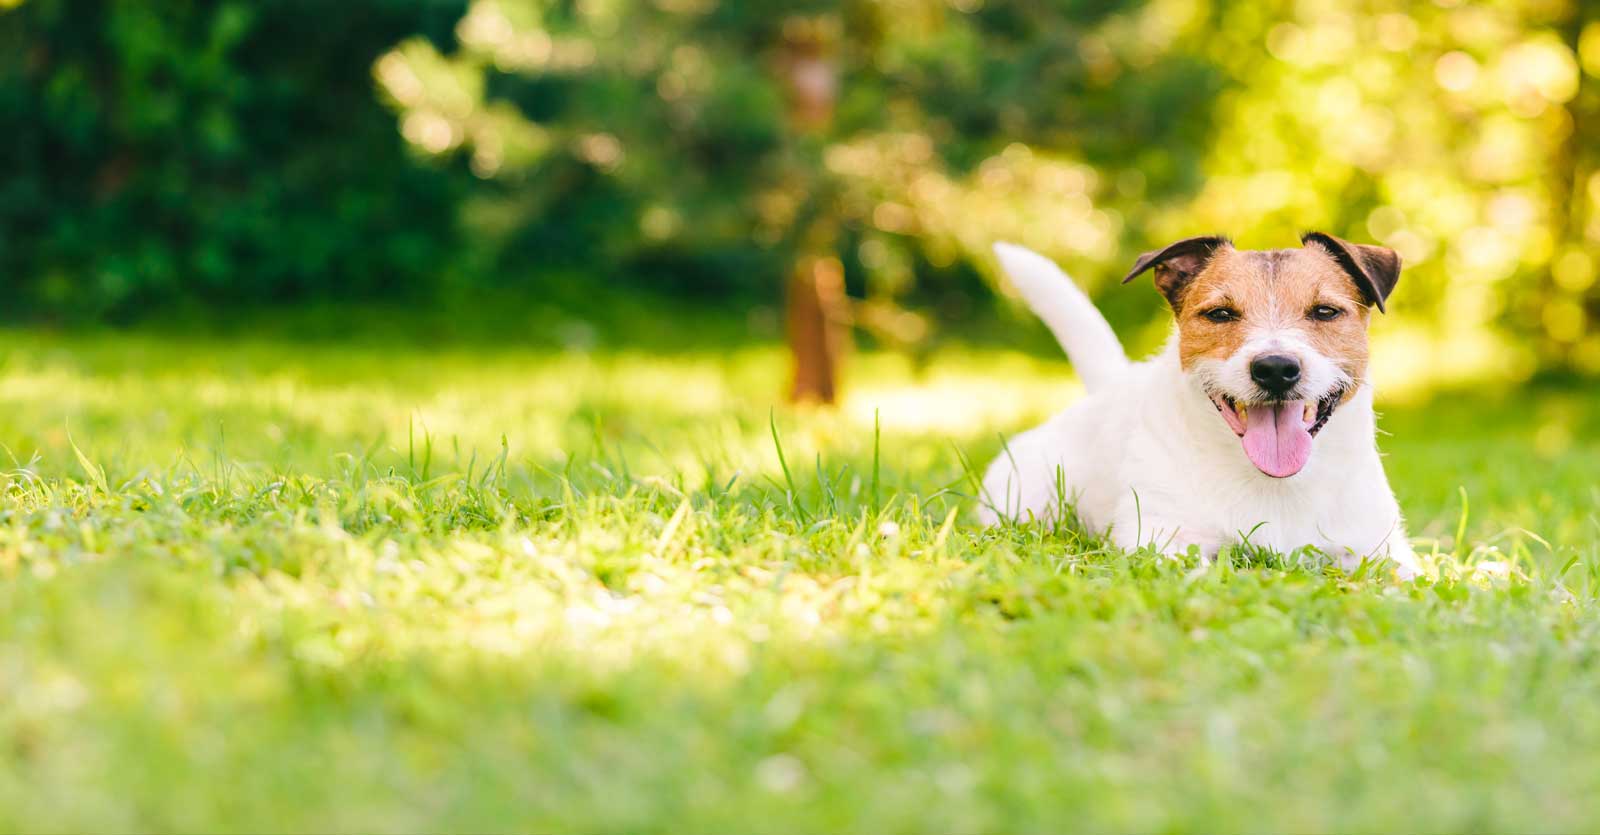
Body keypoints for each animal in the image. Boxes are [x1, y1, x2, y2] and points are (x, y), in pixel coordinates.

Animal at [979, 230, 1420, 575]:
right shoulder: (1159, 538)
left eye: (1325, 311)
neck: (1273, 482)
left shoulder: (1378, 548)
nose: (1276, 369)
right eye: (1220, 314)